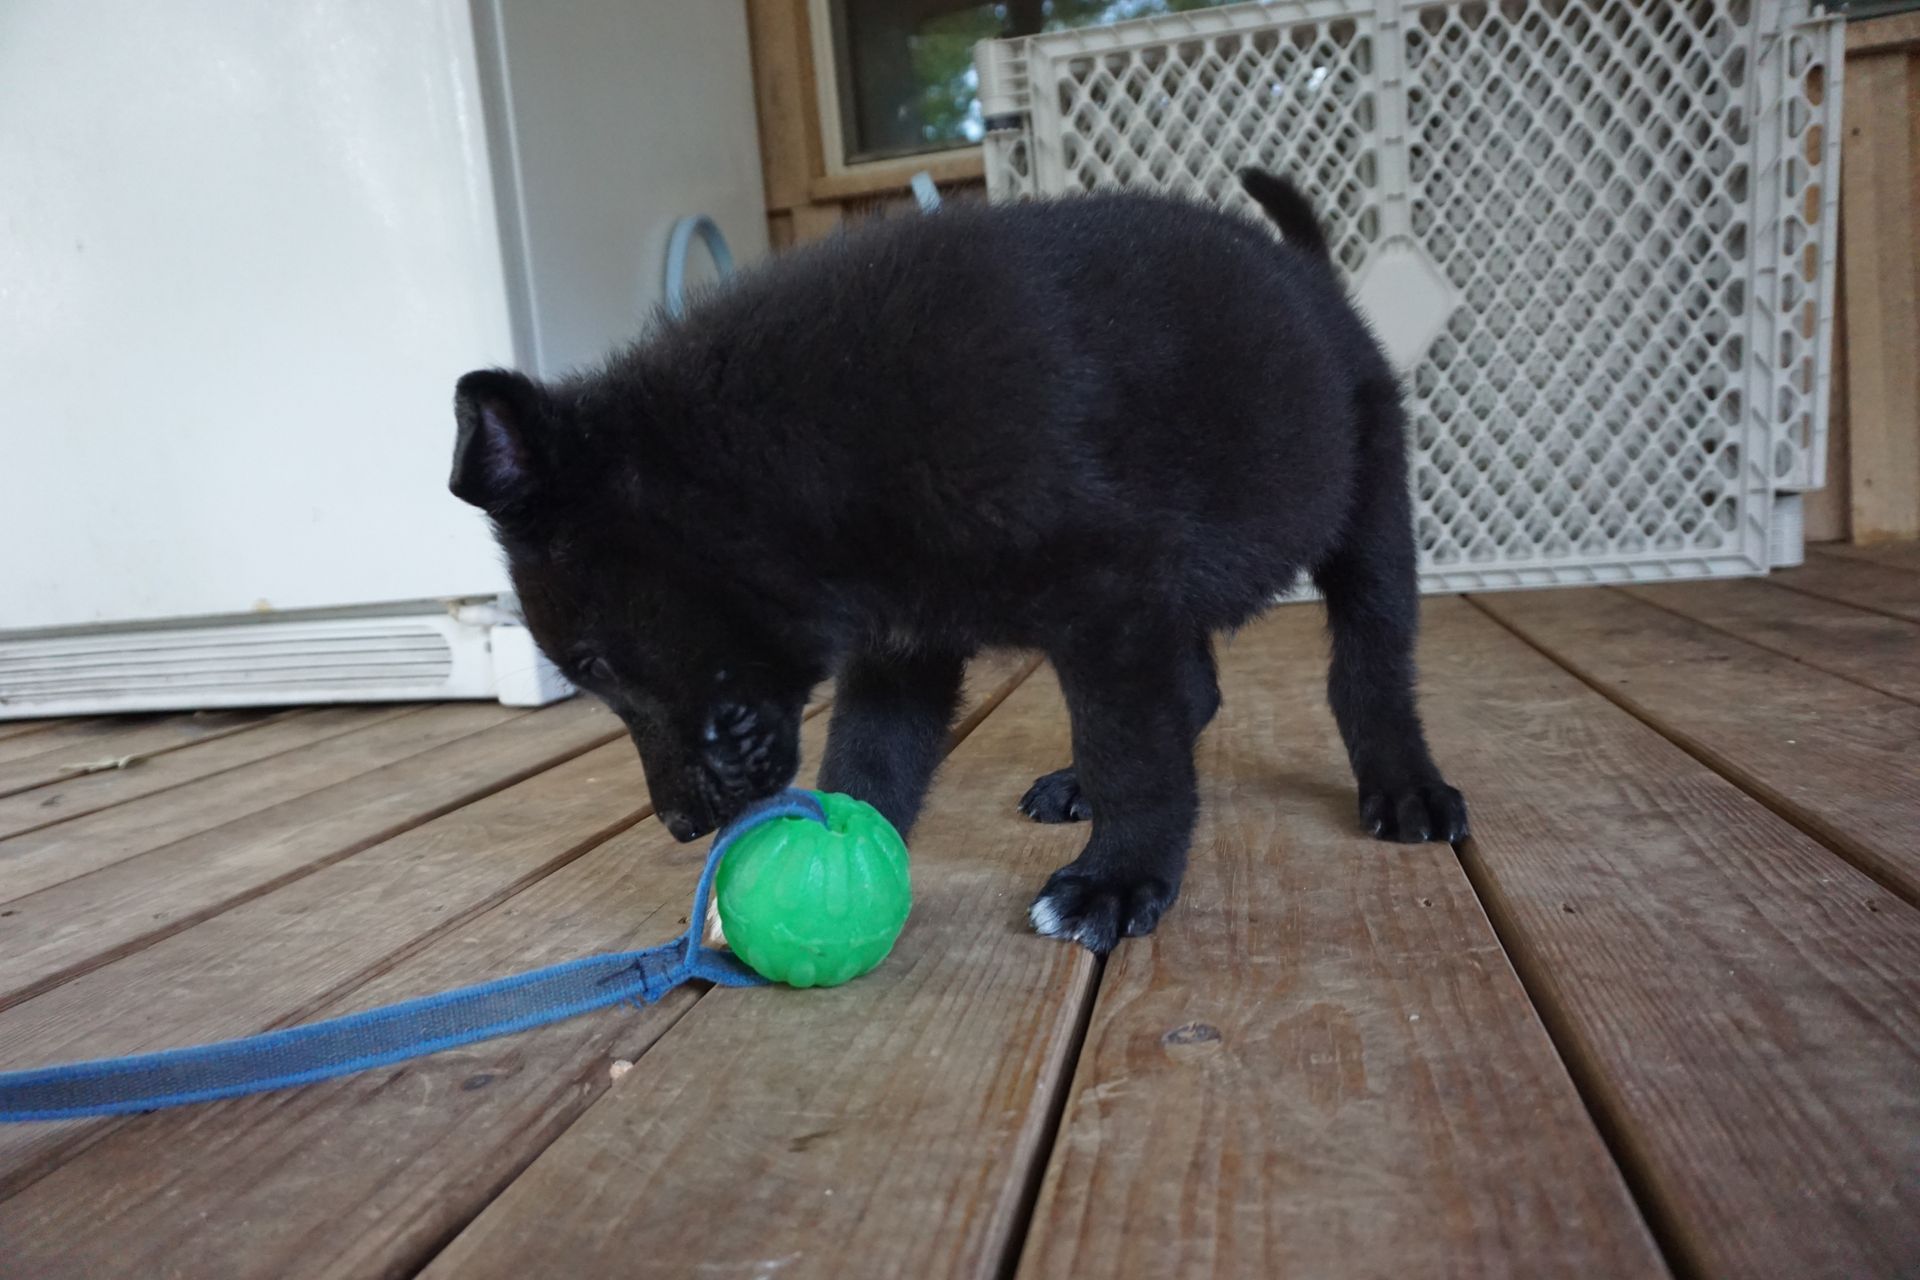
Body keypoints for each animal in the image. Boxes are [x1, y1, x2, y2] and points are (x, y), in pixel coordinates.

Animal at [453, 169, 1466, 951]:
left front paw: (1118, 879)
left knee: (1368, 667)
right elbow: (872, 759)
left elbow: (1133, 749)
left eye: (590, 662)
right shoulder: (908, 643)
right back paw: (1075, 785)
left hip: (1367, 517)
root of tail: (1309, 274)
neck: (810, 443)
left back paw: (1404, 785)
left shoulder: (1109, 602)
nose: (678, 826)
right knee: (1199, 687)